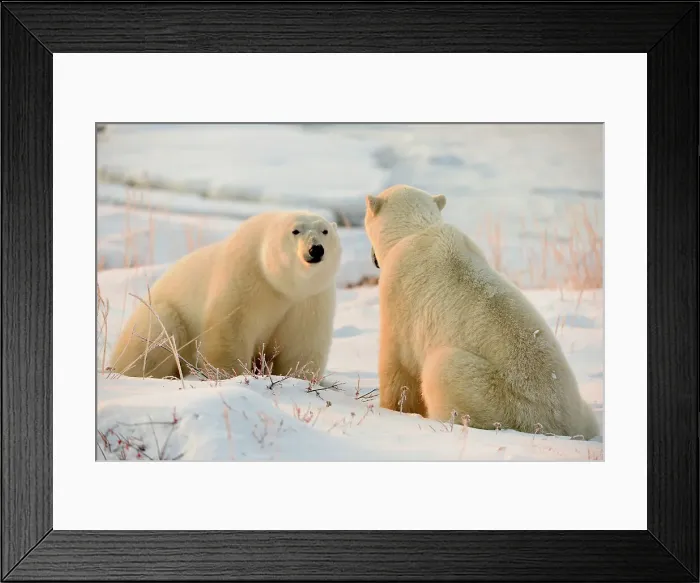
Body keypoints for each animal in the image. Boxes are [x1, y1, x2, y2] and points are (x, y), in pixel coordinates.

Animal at [108, 210, 342, 384]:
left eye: (325, 231)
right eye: (295, 230)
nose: (316, 249)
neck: (280, 286)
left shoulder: (309, 299)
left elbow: (302, 343)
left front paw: (299, 378)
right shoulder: (246, 275)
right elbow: (230, 328)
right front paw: (232, 375)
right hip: (158, 315)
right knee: (160, 335)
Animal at [364, 184, 600, 439]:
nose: (372, 258)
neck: (416, 232)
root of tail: (558, 426)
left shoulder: (399, 295)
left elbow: (397, 365)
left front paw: (392, 409)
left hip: (497, 398)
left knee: (442, 369)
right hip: (581, 412)